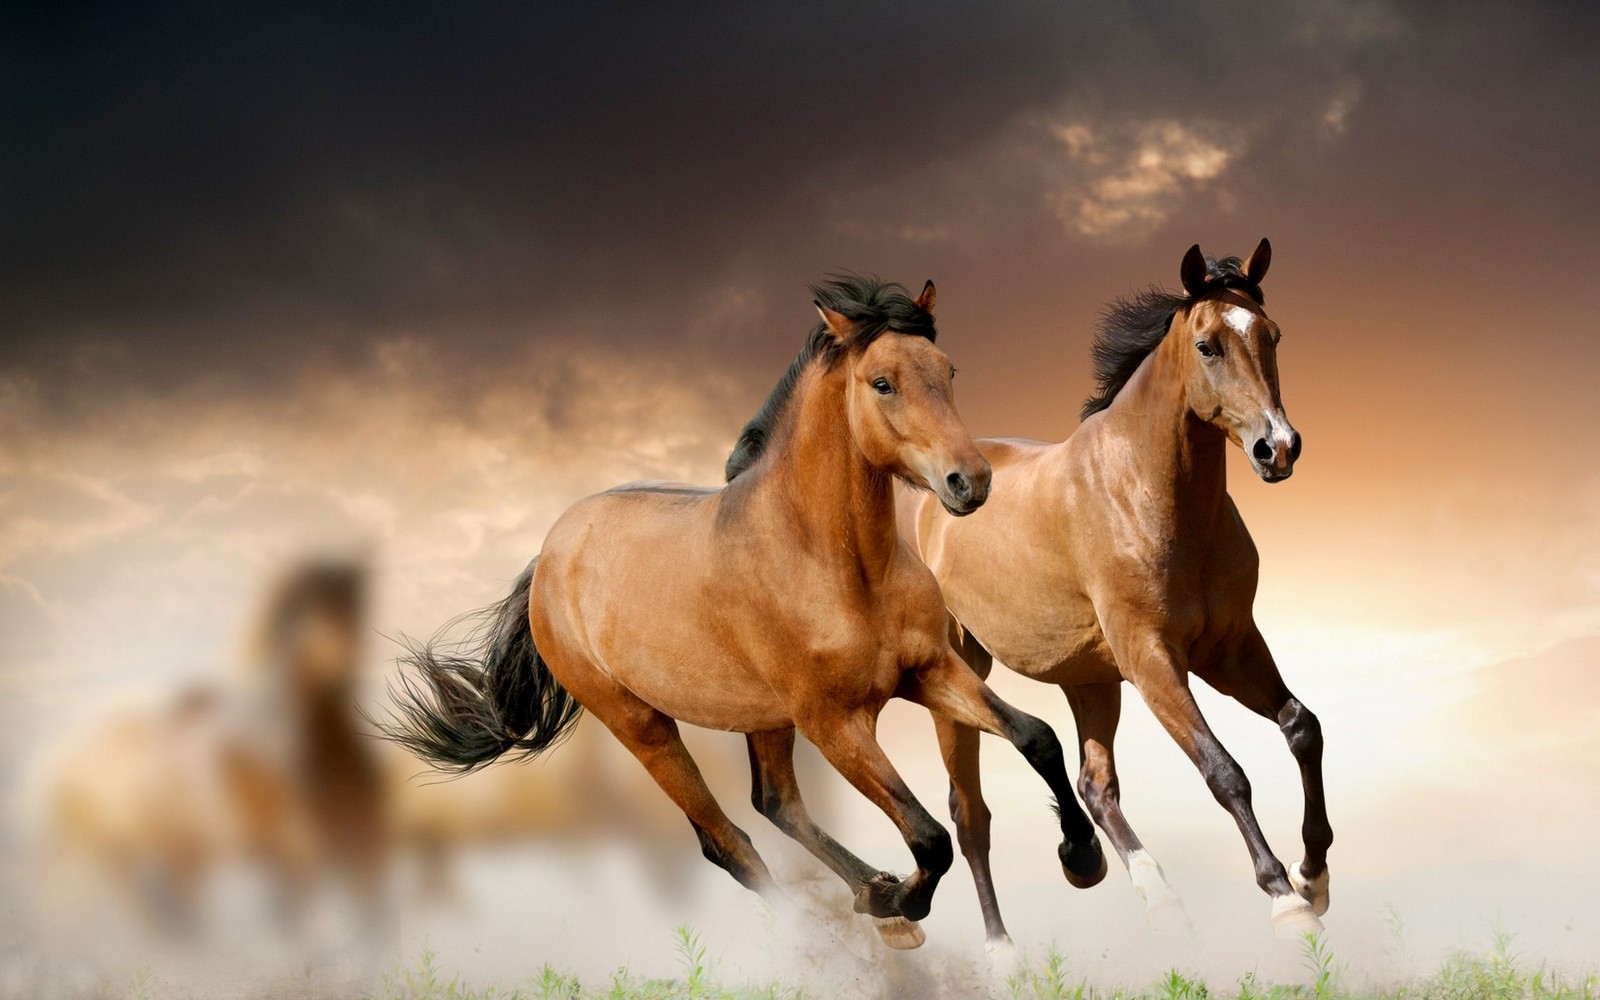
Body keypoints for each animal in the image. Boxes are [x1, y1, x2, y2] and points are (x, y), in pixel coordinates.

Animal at [376, 276, 1107, 947]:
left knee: (775, 803)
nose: (970, 482)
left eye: (947, 370)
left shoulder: (928, 671)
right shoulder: (835, 723)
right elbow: (929, 837)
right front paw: (902, 900)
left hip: (763, 718)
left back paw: (871, 894)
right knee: (727, 842)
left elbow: (1037, 737)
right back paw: (843, 930)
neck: (835, 563)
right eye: (882, 383)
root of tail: (549, 557)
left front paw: (1082, 859)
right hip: (643, 725)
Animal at [908, 238, 1331, 947]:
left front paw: (1314, 874)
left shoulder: (1230, 648)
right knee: (970, 816)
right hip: (961, 675)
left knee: (1094, 785)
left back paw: (1147, 893)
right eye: (1209, 345)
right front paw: (1284, 897)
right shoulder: (1153, 658)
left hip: (1090, 680)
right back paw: (1002, 951)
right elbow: (1224, 771)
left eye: (1271, 335)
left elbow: (1302, 727)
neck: (1147, 494)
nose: (1278, 448)